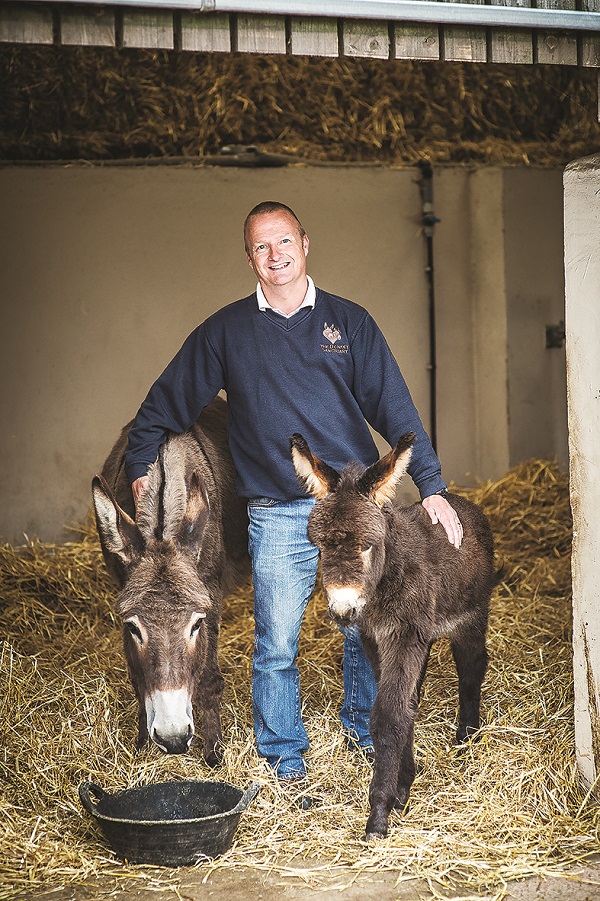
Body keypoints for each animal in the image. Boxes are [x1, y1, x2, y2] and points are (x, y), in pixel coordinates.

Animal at [292, 432, 496, 840]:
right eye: (321, 548)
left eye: (367, 545)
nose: (342, 611)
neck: (387, 577)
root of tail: (463, 502)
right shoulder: (377, 640)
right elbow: (402, 708)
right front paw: (402, 786)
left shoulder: (403, 637)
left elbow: (388, 717)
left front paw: (379, 814)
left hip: (470, 618)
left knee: (471, 669)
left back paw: (466, 740)